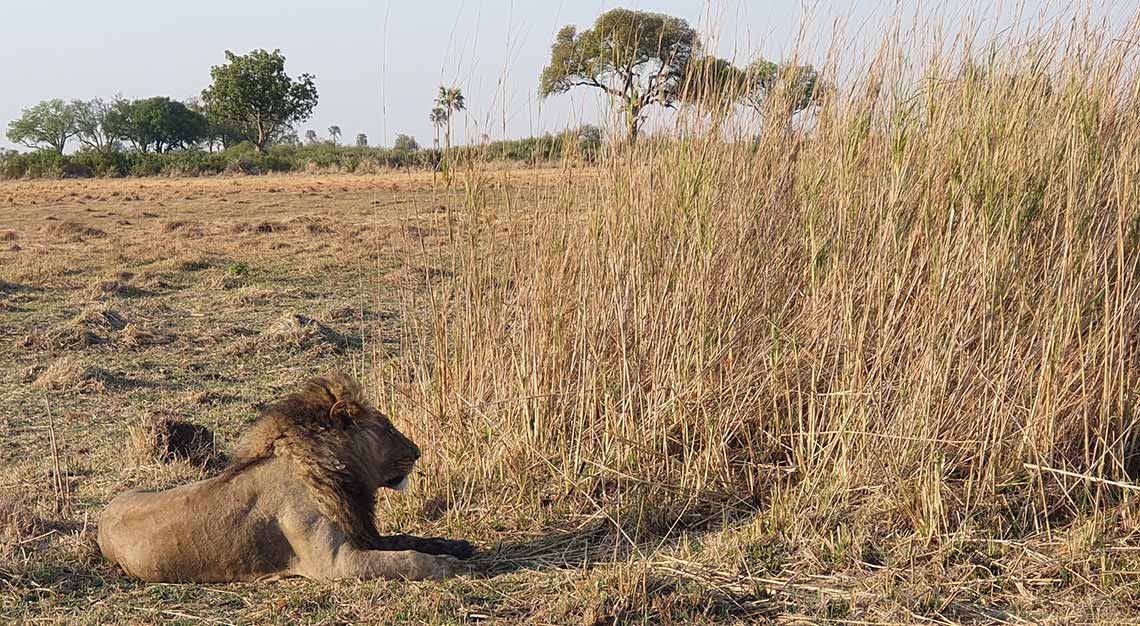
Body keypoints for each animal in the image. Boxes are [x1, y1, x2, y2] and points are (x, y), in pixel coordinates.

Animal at [98, 371, 471, 581]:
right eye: (388, 428)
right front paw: (449, 566)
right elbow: (406, 560)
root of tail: (103, 514)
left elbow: (408, 540)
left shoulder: (364, 534)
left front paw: (455, 545)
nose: (418, 452)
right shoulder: (335, 563)